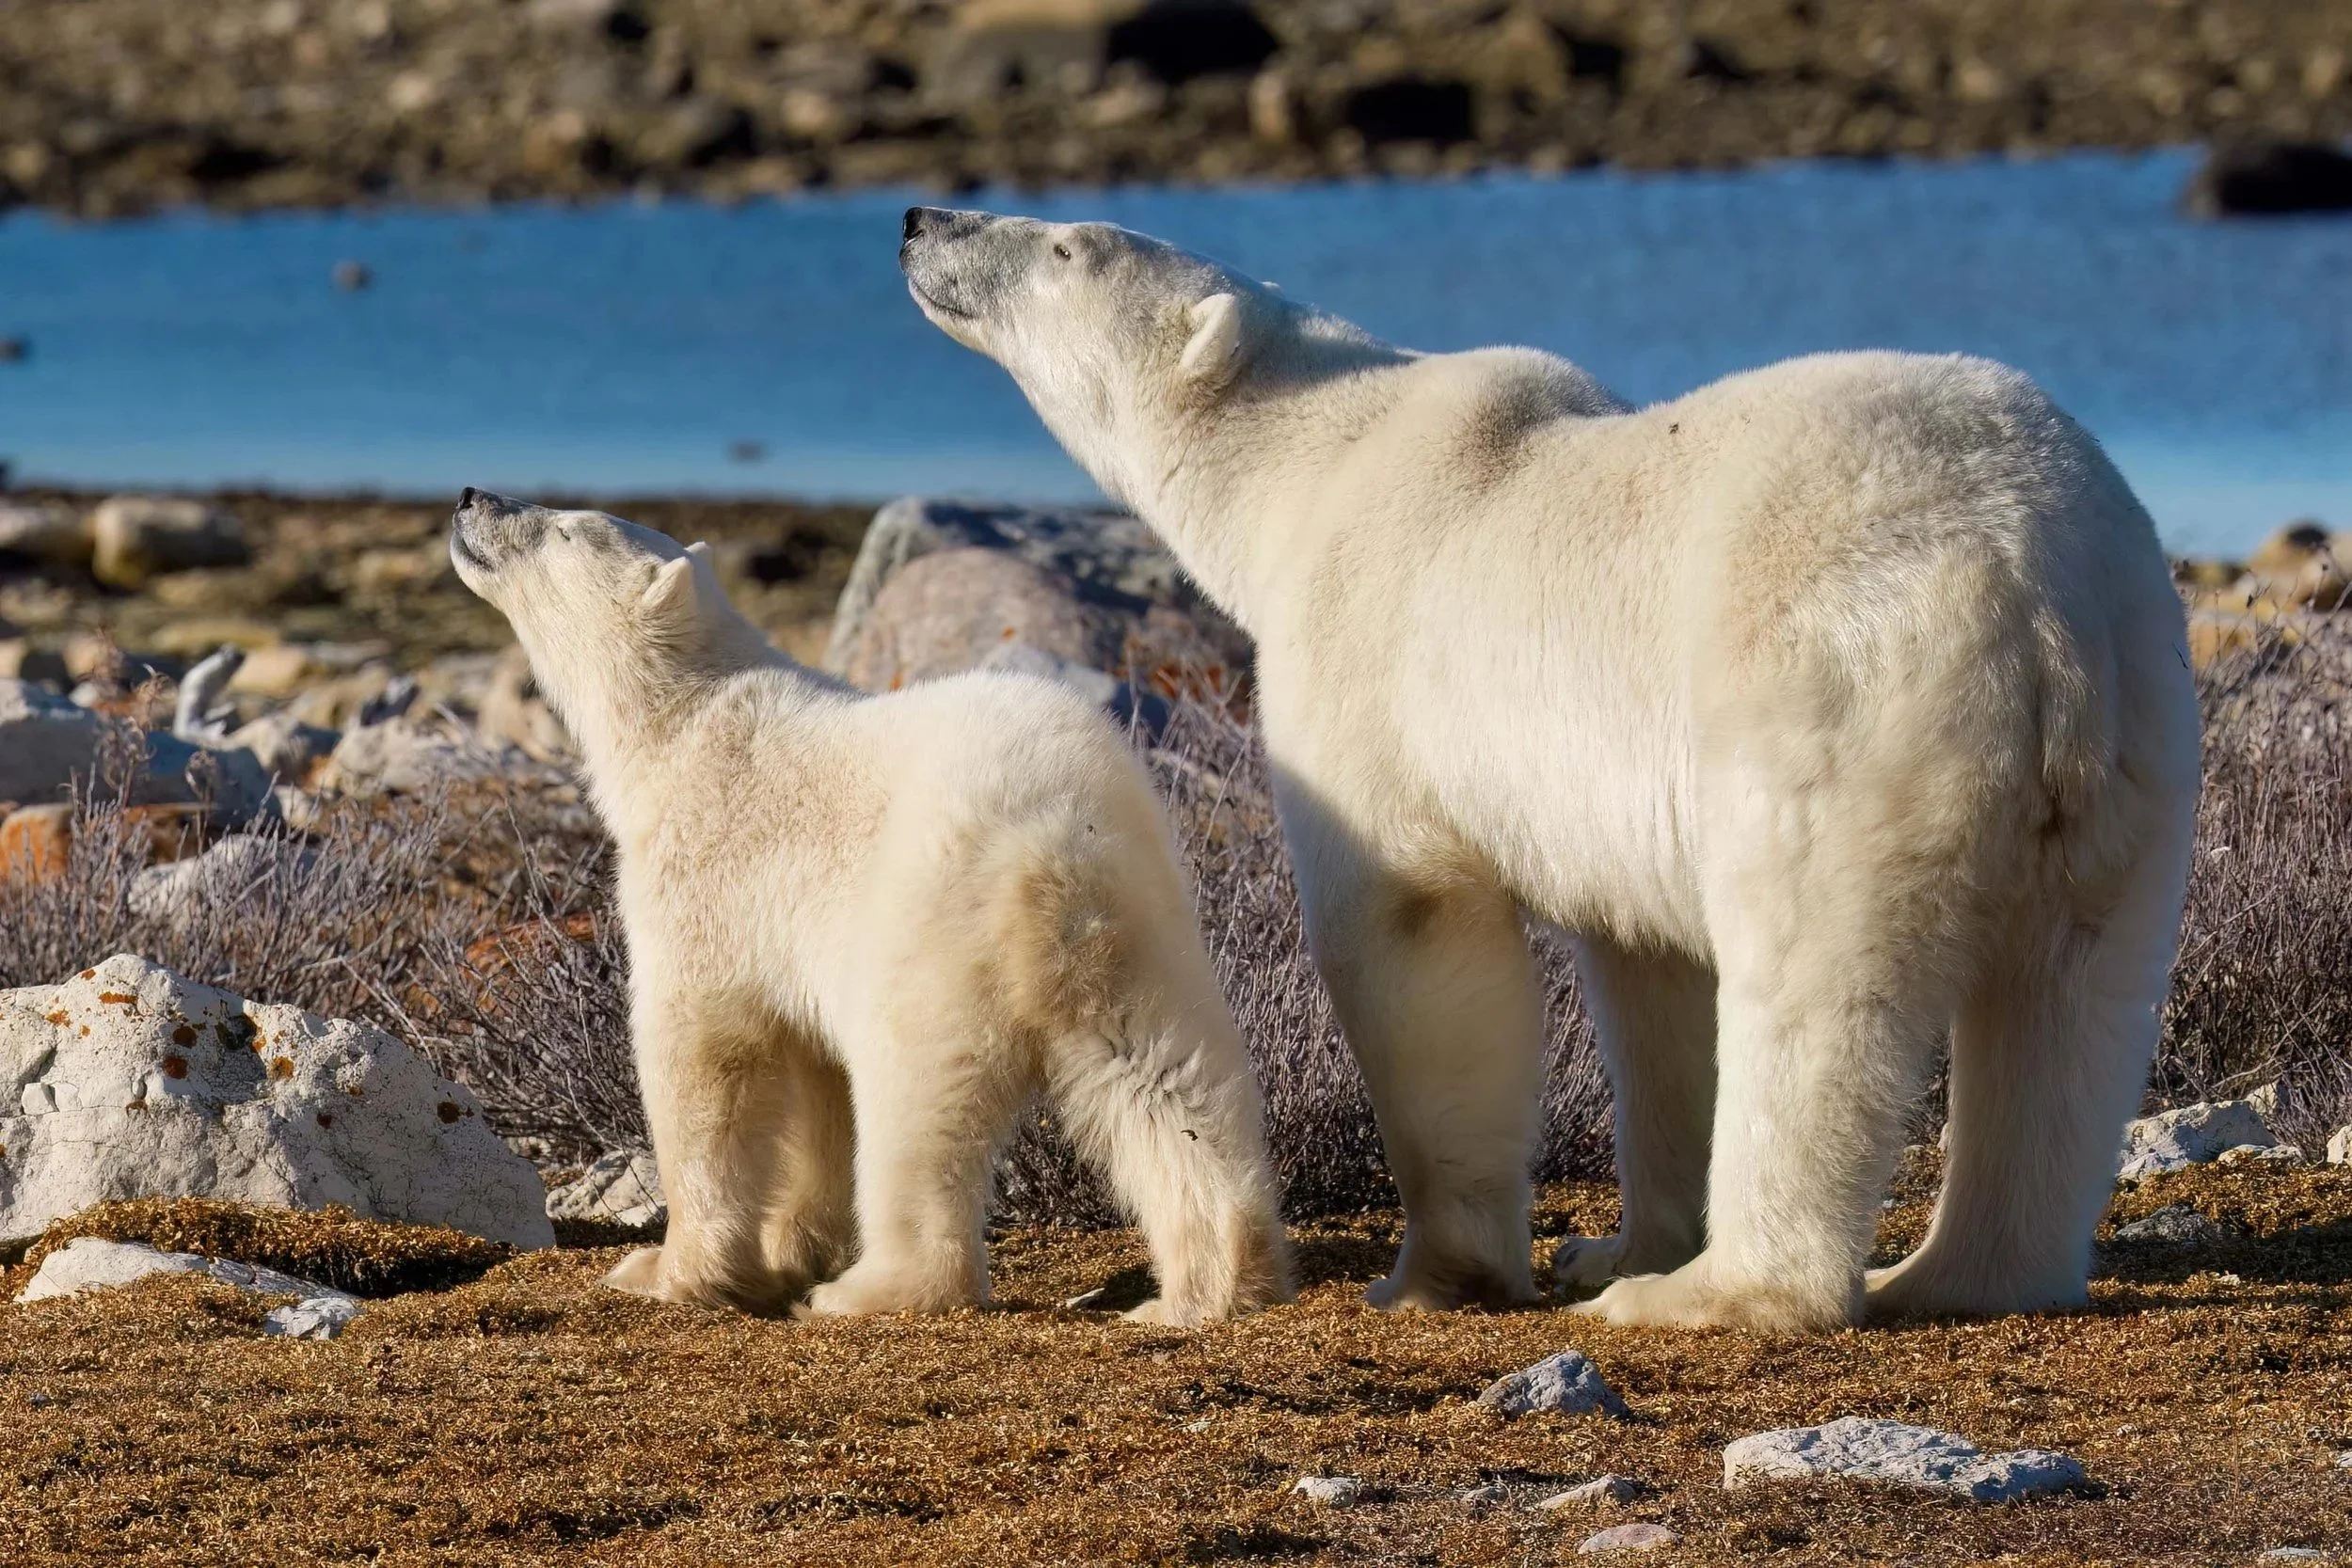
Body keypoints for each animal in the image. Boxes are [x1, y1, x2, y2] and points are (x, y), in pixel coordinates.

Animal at [447, 487, 1291, 1325]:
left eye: (564, 527)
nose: (471, 496)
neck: (683, 719)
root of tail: (1050, 833)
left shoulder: (705, 873)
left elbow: (704, 1057)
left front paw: (666, 1268)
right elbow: (814, 1080)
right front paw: (788, 1251)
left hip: (929, 921)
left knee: (909, 1103)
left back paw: (870, 1288)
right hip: (1143, 917)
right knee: (1165, 1077)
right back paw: (1204, 1289)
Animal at [898, 207, 2203, 1332]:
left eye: (1066, 243)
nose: (920, 219)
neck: (1315, 458)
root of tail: (2025, 576)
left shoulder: (1368, 652)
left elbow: (1410, 930)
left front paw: (1438, 1273)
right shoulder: (1621, 791)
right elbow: (1651, 968)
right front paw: (1613, 1240)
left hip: (1834, 686)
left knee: (1818, 982)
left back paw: (1720, 1290)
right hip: (2132, 724)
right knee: (2071, 998)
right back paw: (1959, 1269)